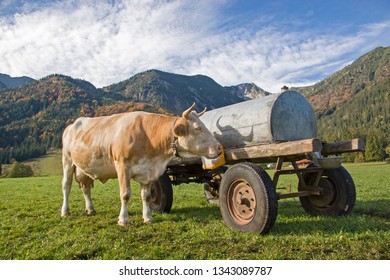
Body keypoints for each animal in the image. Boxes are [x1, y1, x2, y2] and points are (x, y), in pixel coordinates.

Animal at [59, 104, 221, 226]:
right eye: (198, 128)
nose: (219, 147)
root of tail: (73, 124)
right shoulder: (122, 167)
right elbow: (125, 194)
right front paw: (123, 220)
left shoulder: (148, 171)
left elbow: (146, 196)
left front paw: (148, 218)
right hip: (67, 160)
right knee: (66, 186)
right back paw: (65, 211)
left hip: (84, 168)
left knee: (86, 188)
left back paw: (90, 209)